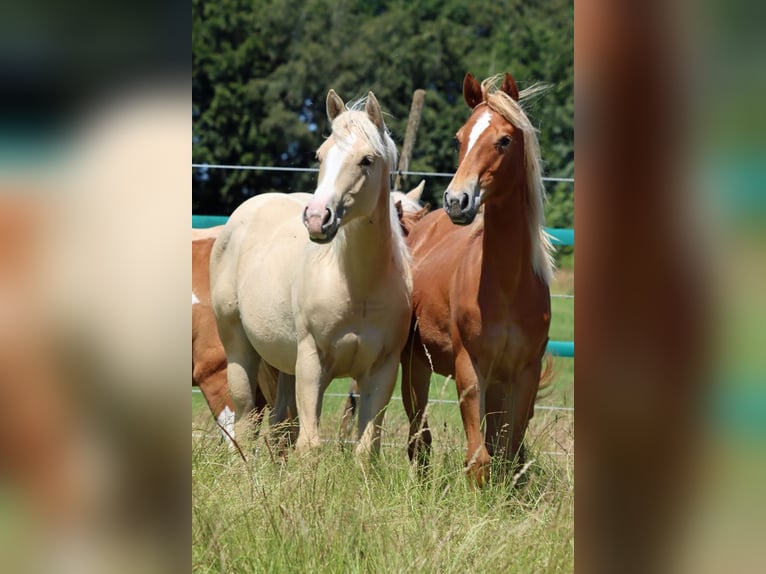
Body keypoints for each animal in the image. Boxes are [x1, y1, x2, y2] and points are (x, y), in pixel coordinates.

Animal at [210, 90, 412, 456]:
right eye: (320, 155)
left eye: (366, 160)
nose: (318, 218)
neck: (357, 286)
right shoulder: (311, 362)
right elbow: (310, 445)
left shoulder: (383, 370)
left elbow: (365, 449)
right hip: (239, 351)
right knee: (246, 425)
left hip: (284, 363)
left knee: (278, 426)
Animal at [401, 72, 555, 486]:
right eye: (459, 138)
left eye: (504, 140)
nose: (457, 201)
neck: (507, 286)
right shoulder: (471, 368)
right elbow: (479, 459)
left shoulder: (523, 374)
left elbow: (509, 453)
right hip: (414, 367)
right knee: (419, 439)